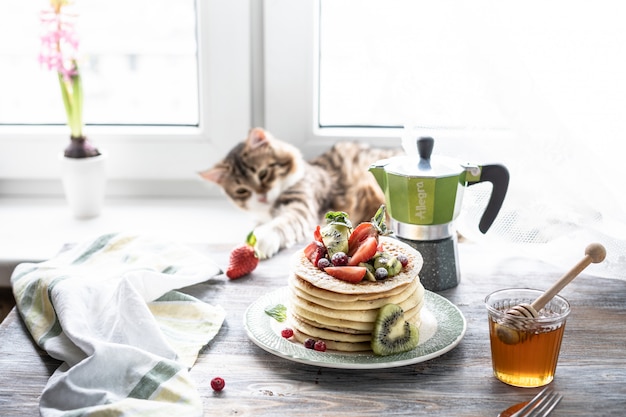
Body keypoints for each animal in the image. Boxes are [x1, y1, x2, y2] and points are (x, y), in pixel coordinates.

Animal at [200, 127, 400, 256]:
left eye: (263, 174)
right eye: (242, 191)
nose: (262, 197)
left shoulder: (302, 204)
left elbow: (283, 223)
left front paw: (260, 240)